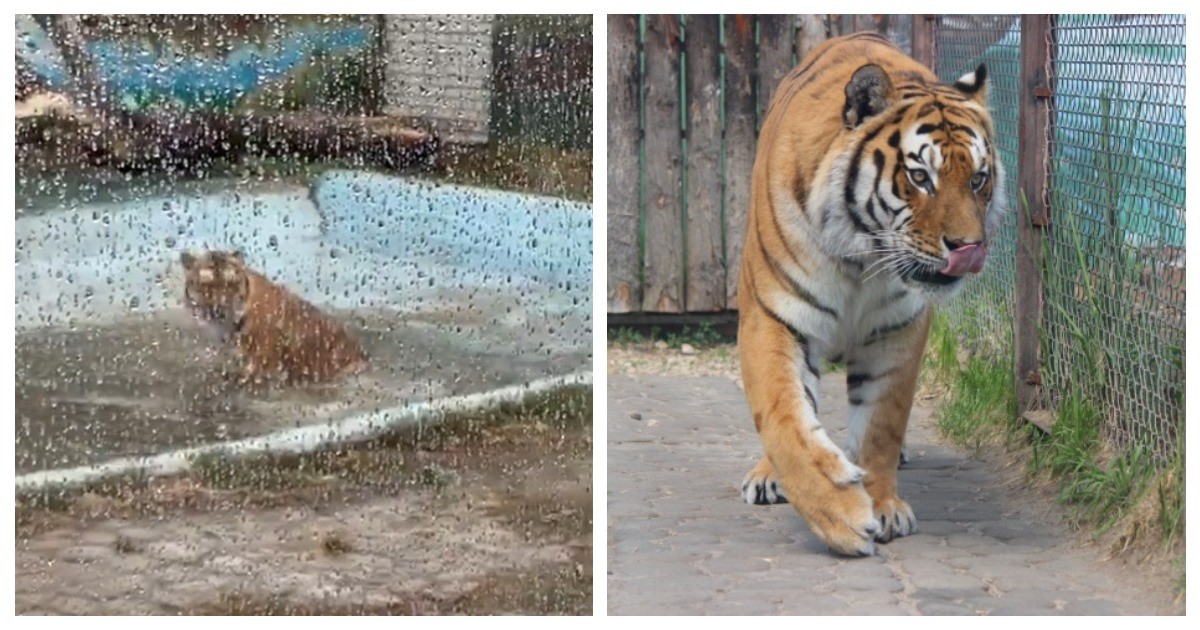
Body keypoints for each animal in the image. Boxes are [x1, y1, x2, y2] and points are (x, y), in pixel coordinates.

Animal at [739, 31, 1003, 552]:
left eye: (978, 179)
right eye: (920, 177)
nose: (969, 249)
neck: (860, 258)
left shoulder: (897, 329)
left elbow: (882, 424)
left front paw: (882, 505)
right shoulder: (774, 316)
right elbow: (784, 417)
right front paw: (838, 513)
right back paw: (768, 476)